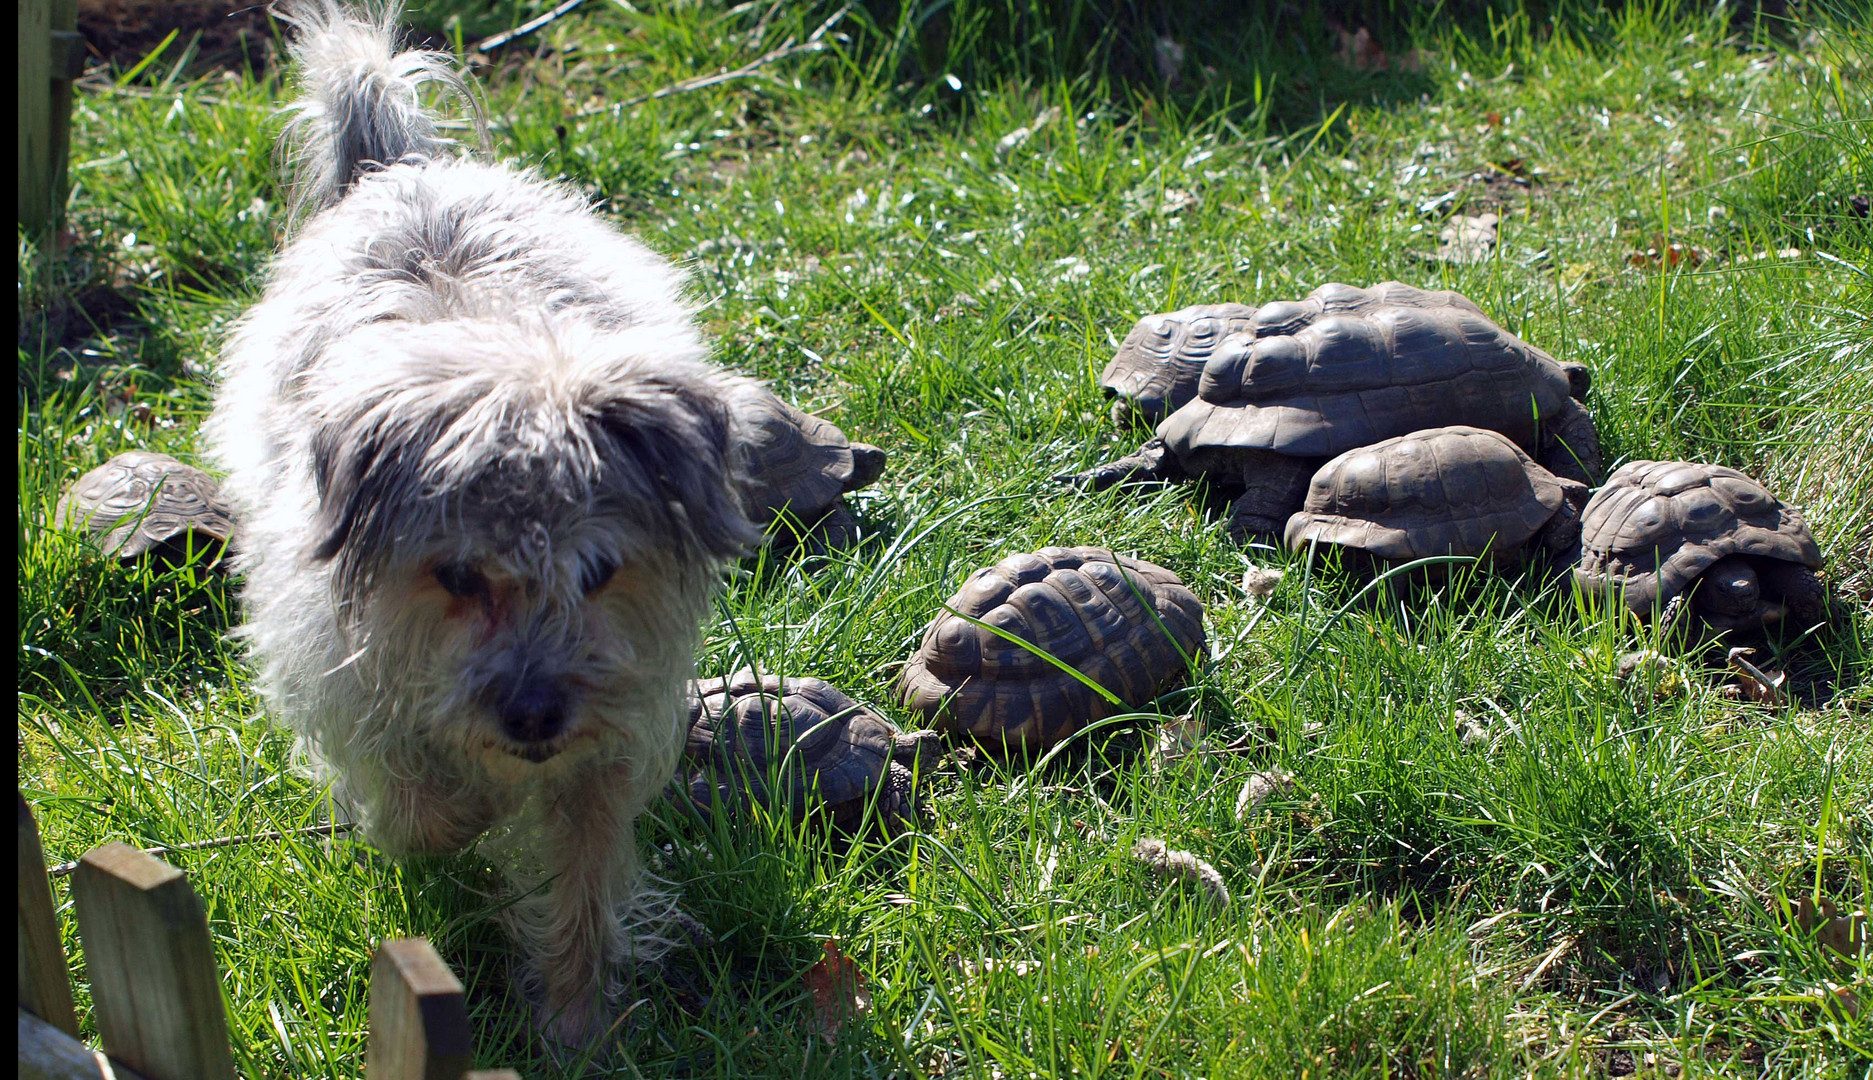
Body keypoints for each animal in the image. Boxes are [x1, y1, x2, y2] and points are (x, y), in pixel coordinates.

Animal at [203, 2, 752, 1048]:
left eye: (599, 572)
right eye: (457, 576)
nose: (533, 714)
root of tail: (401, 170)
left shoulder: (604, 746)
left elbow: (583, 879)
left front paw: (576, 1018)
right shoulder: (351, 688)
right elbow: (423, 810)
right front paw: (465, 814)